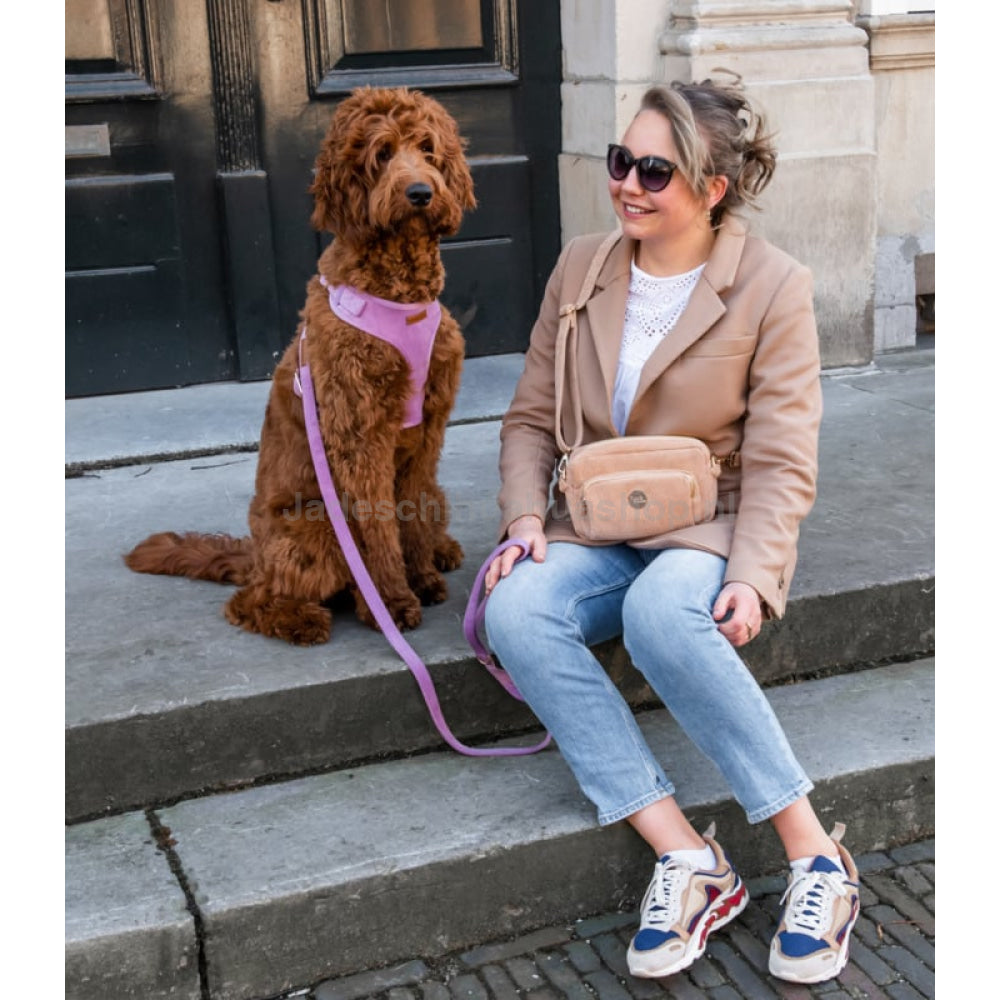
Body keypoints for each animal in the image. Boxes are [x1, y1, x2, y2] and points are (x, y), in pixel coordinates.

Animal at [125, 90, 476, 644]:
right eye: (382, 153)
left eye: (428, 148)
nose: (421, 192)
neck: (400, 291)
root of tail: (256, 556)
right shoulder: (359, 435)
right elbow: (378, 526)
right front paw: (392, 602)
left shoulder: (430, 427)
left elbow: (411, 511)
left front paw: (419, 576)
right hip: (314, 526)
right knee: (250, 600)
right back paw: (303, 618)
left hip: (426, 494)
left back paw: (439, 553)